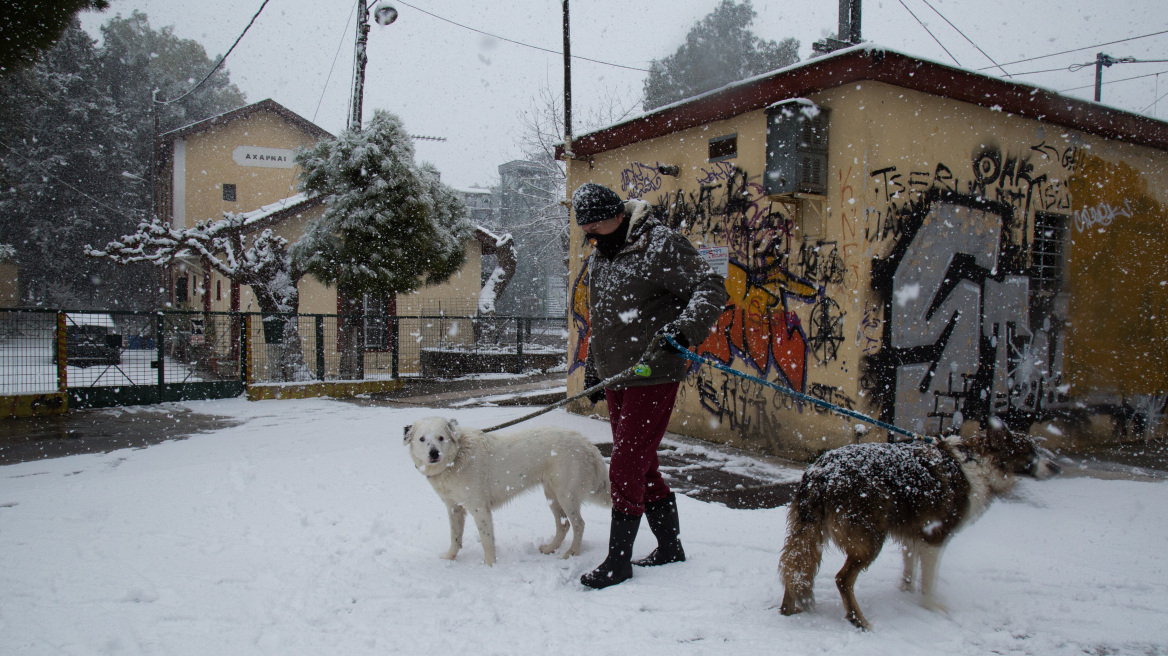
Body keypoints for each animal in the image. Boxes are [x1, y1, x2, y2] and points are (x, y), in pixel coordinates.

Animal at [406, 415, 612, 564]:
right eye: (422, 439)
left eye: (441, 438)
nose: (434, 453)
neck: (455, 458)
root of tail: (587, 442)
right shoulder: (454, 508)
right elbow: (455, 536)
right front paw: (450, 557)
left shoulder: (480, 508)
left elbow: (487, 540)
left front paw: (489, 565)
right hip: (552, 495)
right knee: (564, 524)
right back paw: (550, 548)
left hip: (566, 494)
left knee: (579, 524)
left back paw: (572, 552)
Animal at [780, 417, 1065, 630]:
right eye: (1029, 454)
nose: (1057, 468)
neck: (978, 463)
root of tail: (821, 472)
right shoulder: (935, 536)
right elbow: (929, 580)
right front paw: (931, 608)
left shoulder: (913, 534)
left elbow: (910, 568)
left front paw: (905, 592)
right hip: (869, 541)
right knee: (841, 579)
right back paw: (858, 621)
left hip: (808, 533)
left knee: (794, 569)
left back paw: (789, 610)